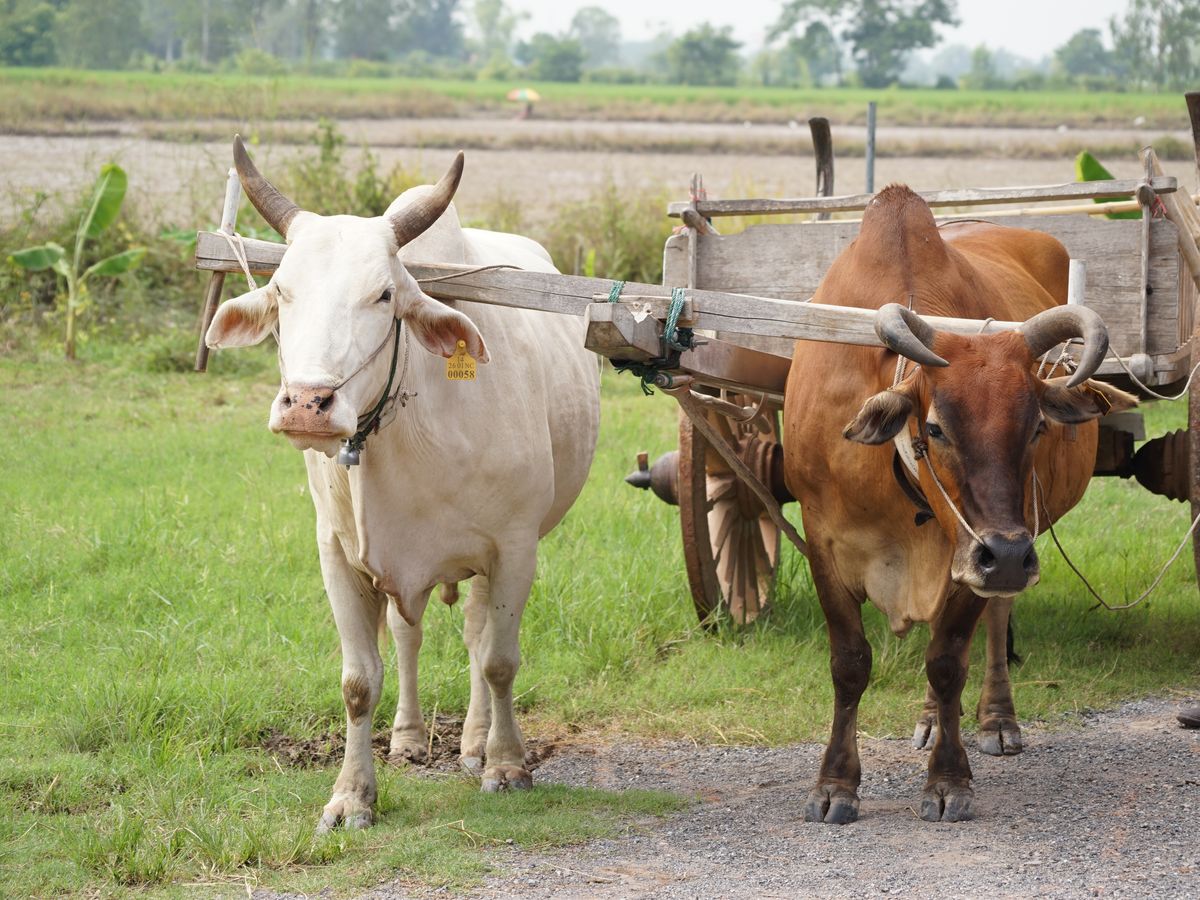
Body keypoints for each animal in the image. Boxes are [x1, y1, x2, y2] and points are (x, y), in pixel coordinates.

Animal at [205, 138, 600, 831]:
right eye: (282, 290)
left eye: (384, 295)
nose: (306, 405)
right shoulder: (339, 554)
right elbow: (359, 681)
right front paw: (351, 796)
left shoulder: (514, 548)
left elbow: (499, 661)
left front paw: (507, 765)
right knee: (410, 632)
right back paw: (412, 738)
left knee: (475, 635)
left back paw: (474, 743)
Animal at [782, 184, 1135, 824]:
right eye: (936, 427)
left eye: (1036, 428)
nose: (1009, 556)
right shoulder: (822, 537)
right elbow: (850, 663)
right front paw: (835, 785)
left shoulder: (980, 553)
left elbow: (947, 661)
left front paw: (948, 781)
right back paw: (928, 721)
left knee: (991, 622)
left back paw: (997, 719)